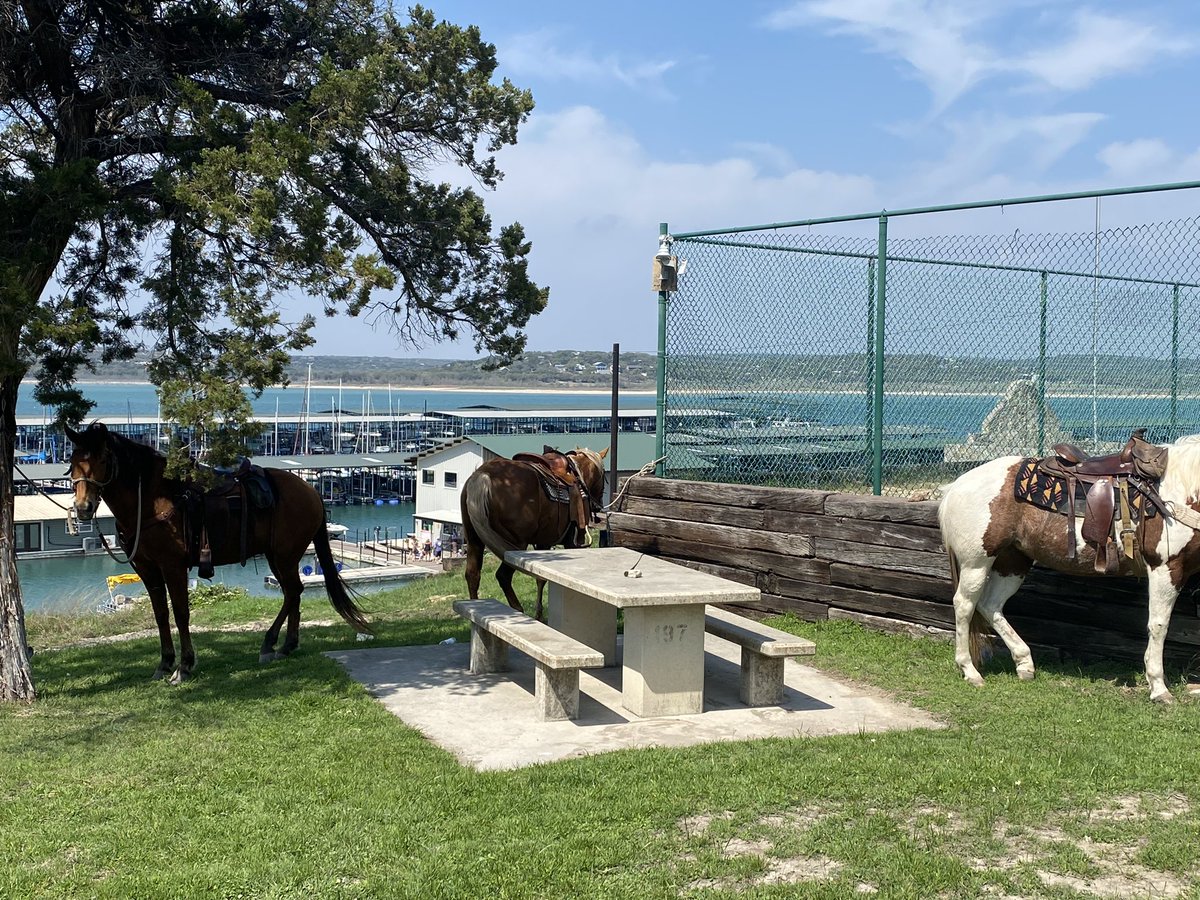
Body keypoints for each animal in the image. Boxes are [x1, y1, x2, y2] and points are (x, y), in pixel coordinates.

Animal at [68, 424, 367, 681]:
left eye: (103, 460)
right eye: (72, 462)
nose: (83, 507)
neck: (153, 499)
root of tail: (311, 491)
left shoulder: (172, 566)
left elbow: (181, 613)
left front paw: (184, 666)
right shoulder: (147, 568)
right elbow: (160, 615)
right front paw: (164, 664)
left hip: (285, 556)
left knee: (293, 592)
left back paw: (271, 644)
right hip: (278, 557)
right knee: (293, 593)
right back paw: (285, 646)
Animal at [458, 448, 609, 619]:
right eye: (604, 476)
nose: (598, 505)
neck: (578, 475)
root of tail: (482, 475)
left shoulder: (543, 543)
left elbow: (540, 577)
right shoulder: (566, 543)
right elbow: (542, 578)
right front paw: (539, 614)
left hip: (474, 540)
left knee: (473, 575)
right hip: (515, 545)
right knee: (503, 576)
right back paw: (517, 608)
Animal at [936, 436, 1200, 705]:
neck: (1183, 490)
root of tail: (954, 487)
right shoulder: (1165, 567)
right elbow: (1159, 626)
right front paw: (1159, 688)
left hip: (1013, 563)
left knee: (991, 605)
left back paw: (1024, 663)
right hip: (976, 562)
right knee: (965, 605)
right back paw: (970, 671)